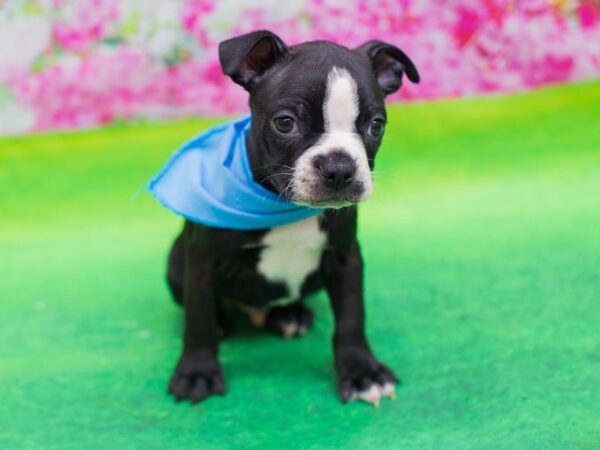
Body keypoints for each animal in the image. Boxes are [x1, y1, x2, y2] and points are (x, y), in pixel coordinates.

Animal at [157, 29, 420, 406]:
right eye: (285, 123)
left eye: (376, 125)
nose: (339, 167)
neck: (285, 205)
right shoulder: (202, 261)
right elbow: (199, 319)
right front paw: (197, 372)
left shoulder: (345, 258)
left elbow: (352, 317)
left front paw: (362, 372)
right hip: (177, 261)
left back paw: (290, 314)